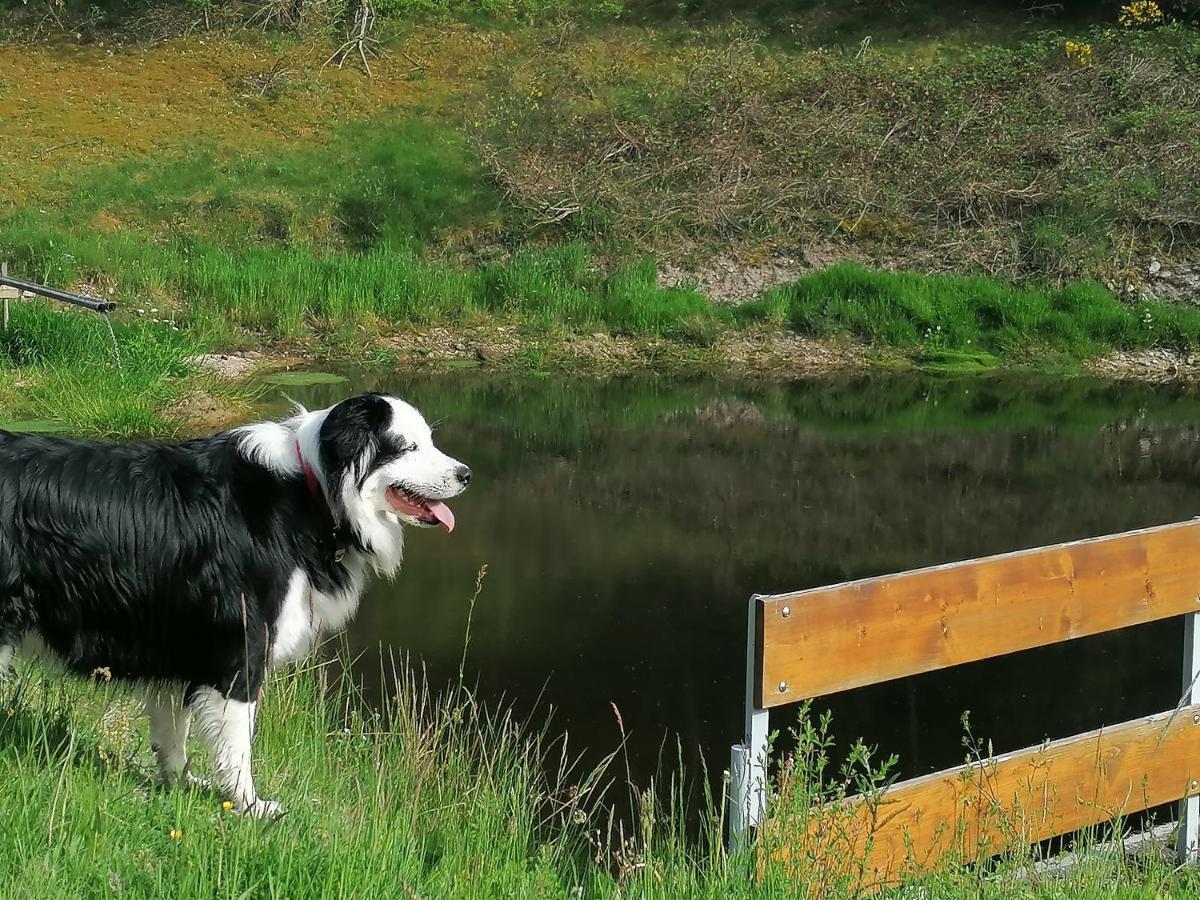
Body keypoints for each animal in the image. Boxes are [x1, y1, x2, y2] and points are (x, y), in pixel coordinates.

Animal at [0, 393, 468, 816]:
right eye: (408, 446)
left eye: (428, 440)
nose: (466, 474)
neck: (313, 490)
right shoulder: (241, 645)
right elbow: (237, 744)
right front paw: (249, 806)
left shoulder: (184, 646)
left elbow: (173, 734)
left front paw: (180, 786)